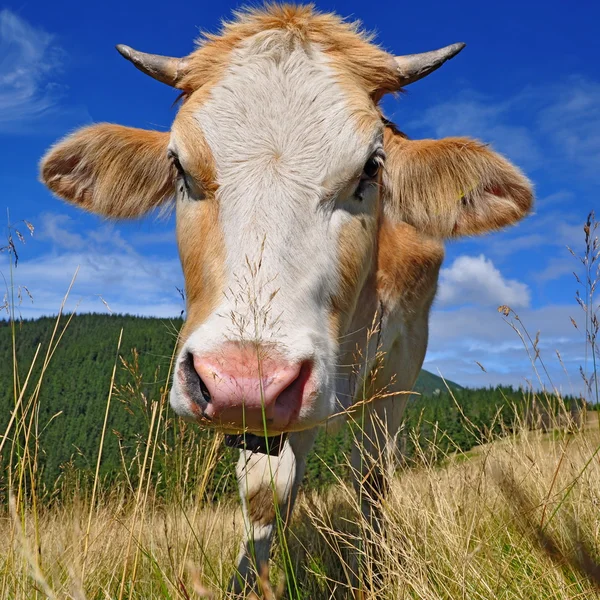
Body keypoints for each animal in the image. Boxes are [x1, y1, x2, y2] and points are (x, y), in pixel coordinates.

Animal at [39, 4, 532, 596]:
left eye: (372, 167)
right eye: (179, 166)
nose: (241, 382)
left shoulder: (403, 358)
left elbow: (372, 478)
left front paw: (373, 572)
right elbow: (264, 491)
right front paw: (251, 581)